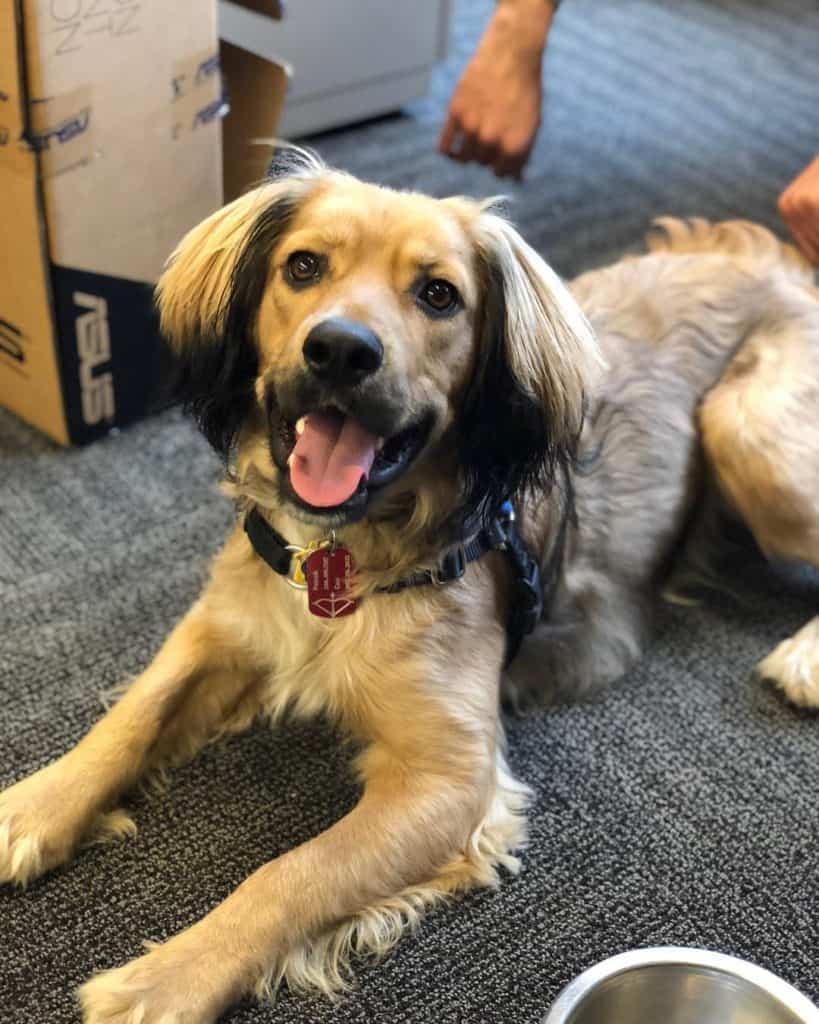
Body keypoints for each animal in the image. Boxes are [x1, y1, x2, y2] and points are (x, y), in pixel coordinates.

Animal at [1, 151, 818, 1024]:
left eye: (438, 294)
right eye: (302, 266)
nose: (338, 351)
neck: (341, 552)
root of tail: (772, 262)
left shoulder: (449, 782)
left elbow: (294, 874)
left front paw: (167, 978)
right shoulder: (221, 624)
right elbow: (132, 715)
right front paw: (36, 805)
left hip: (745, 435)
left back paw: (802, 657)